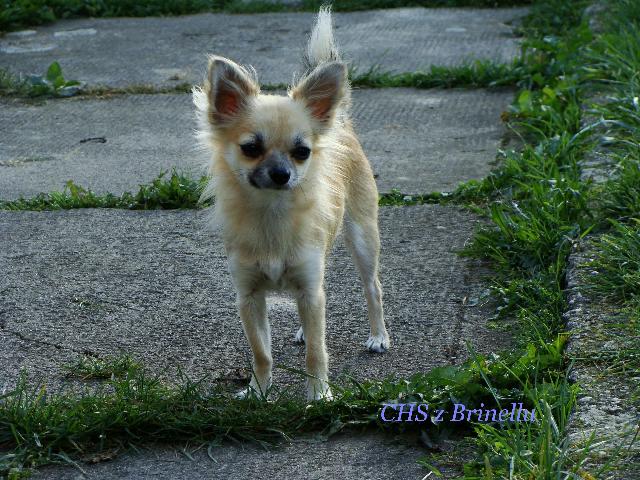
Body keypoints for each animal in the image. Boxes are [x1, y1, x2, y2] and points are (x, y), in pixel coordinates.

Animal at [193, 7, 390, 400]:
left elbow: (317, 351)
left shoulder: (311, 289)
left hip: (363, 236)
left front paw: (318, 395)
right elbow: (261, 353)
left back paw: (378, 336)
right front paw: (258, 391)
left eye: (302, 152)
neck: (272, 213)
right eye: (251, 148)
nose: (282, 174)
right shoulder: (249, 296)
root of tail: (342, 122)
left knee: (372, 287)